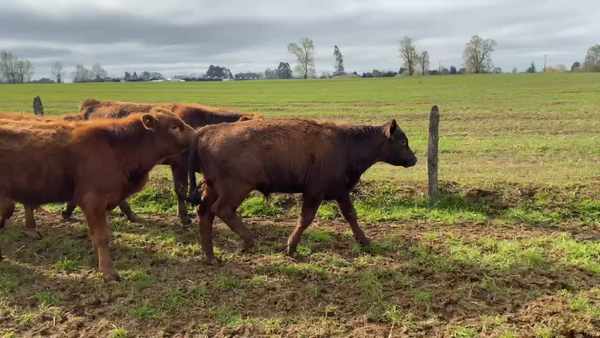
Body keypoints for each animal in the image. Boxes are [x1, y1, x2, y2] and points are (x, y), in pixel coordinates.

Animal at [0, 109, 196, 282]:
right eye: (174, 127)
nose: (196, 134)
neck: (116, 148)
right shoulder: (94, 200)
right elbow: (102, 236)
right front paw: (108, 271)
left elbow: (95, 235)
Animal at [188, 117, 418, 262]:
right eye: (403, 142)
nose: (414, 159)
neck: (346, 145)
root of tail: (207, 131)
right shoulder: (314, 192)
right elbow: (305, 219)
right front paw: (291, 247)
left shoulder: (340, 191)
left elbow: (351, 215)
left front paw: (365, 241)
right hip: (236, 188)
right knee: (223, 210)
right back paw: (249, 240)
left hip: (213, 188)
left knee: (205, 213)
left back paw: (210, 256)